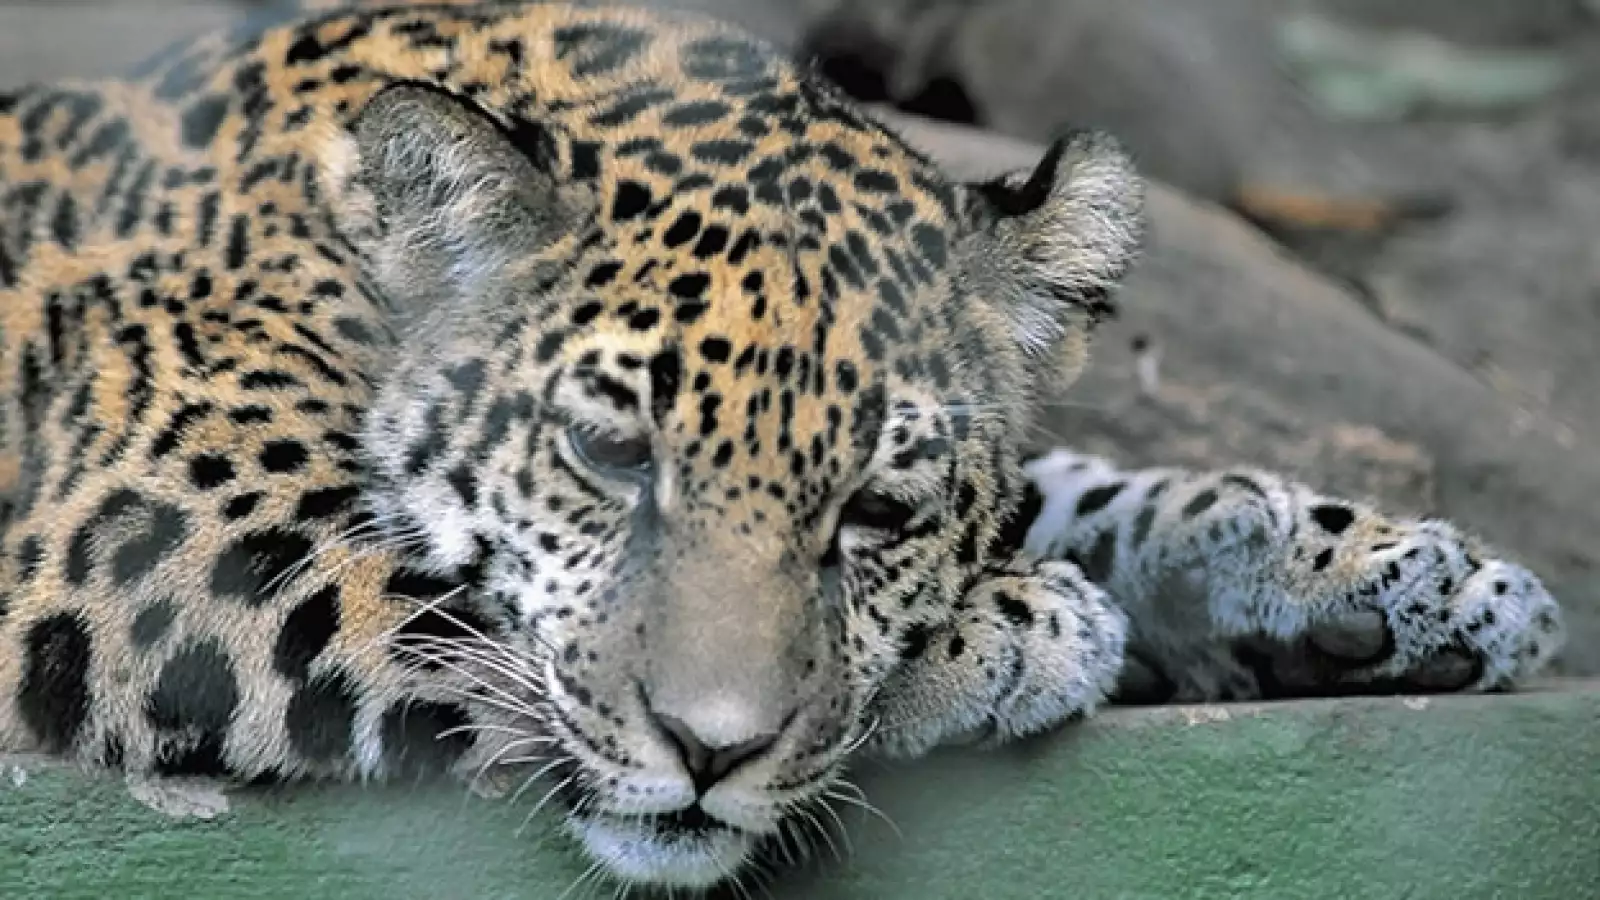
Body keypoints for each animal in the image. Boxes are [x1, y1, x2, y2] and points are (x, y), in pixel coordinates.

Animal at [0, 0, 1565, 892]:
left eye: (875, 510)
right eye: (612, 456)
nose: (709, 754)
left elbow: (1087, 489)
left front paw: (1385, 579)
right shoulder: (158, 523)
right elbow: (466, 618)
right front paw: (1008, 635)